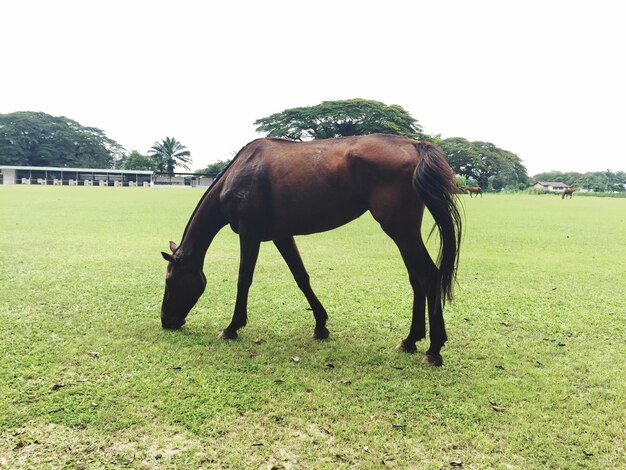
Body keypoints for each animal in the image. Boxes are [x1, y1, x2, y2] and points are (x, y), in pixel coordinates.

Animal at [160, 134, 464, 366]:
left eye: (169, 280)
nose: (166, 321)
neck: (241, 172)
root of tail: (413, 144)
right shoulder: (282, 236)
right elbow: (301, 277)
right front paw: (320, 325)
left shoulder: (249, 234)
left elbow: (244, 279)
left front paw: (232, 327)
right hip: (404, 233)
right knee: (417, 279)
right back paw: (410, 340)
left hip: (400, 230)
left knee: (429, 276)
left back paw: (434, 349)